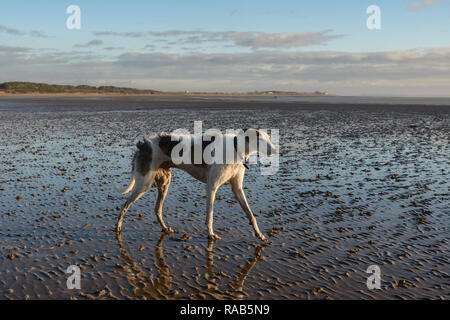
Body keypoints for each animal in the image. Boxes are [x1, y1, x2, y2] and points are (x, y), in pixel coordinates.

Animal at [114, 127, 276, 240]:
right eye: (260, 140)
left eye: (269, 137)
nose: (275, 150)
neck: (236, 148)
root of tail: (143, 145)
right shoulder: (211, 187)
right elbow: (210, 215)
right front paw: (211, 234)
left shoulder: (237, 188)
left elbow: (250, 214)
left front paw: (259, 234)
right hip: (144, 184)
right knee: (124, 206)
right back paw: (118, 227)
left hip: (164, 183)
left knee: (157, 209)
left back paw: (165, 228)